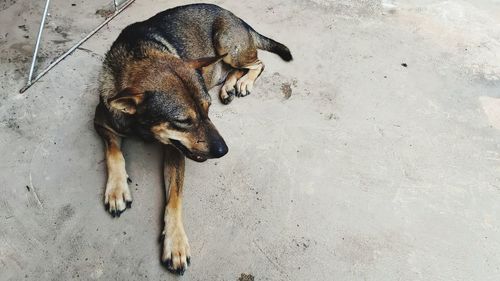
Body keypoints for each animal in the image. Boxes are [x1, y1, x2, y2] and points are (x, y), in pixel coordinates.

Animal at [93, 2, 292, 274]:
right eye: (184, 121)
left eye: (208, 109)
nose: (223, 151)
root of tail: (235, 17)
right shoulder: (101, 121)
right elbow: (113, 152)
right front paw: (116, 189)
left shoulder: (175, 152)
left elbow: (174, 198)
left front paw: (175, 242)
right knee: (236, 69)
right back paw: (229, 86)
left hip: (228, 47)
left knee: (258, 63)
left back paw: (243, 83)